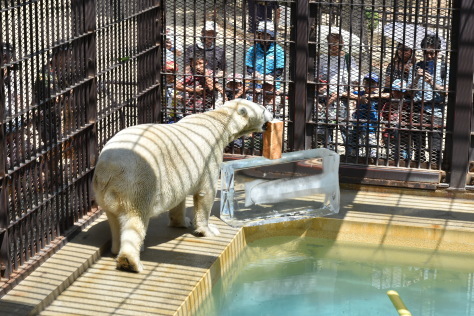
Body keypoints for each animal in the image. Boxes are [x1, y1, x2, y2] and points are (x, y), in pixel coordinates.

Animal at [92, 99, 272, 272]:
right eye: (263, 108)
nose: (271, 115)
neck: (217, 121)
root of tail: (107, 169)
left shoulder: (178, 176)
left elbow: (178, 198)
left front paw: (182, 221)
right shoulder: (209, 155)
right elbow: (206, 192)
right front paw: (208, 230)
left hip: (106, 192)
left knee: (115, 219)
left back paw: (117, 249)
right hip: (138, 182)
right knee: (135, 219)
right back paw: (130, 262)